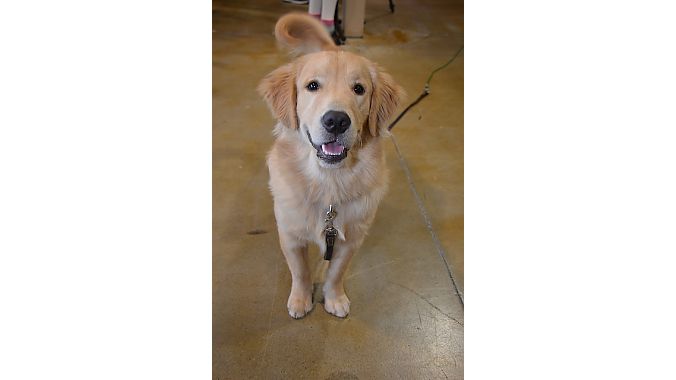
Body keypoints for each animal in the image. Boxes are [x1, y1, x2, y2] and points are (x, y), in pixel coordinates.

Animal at [258, 13, 404, 320]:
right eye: (313, 86)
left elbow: (336, 272)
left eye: (358, 89)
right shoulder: (290, 235)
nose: (336, 120)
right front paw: (301, 300)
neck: (328, 184)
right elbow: (300, 272)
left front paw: (334, 298)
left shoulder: (351, 239)